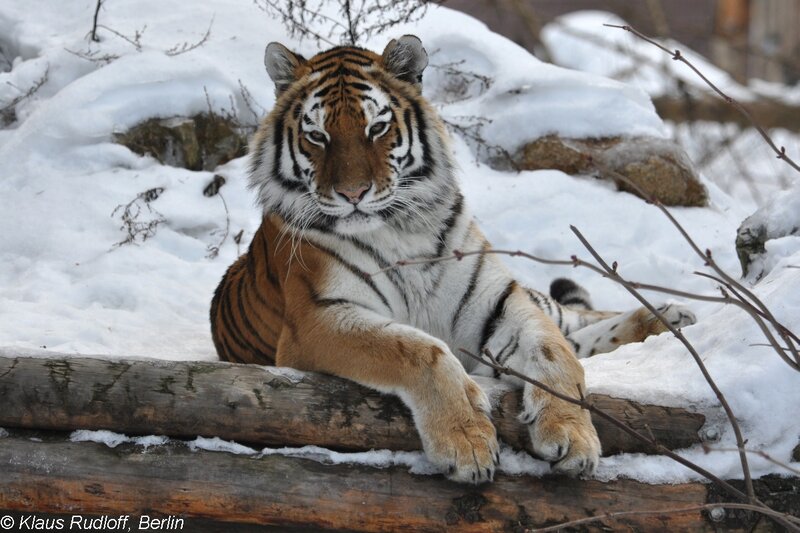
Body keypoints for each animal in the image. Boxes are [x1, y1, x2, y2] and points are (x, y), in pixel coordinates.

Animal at [210, 35, 696, 484]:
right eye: (317, 136)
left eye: (376, 129)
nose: (352, 194)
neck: (397, 227)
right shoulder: (316, 318)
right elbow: (418, 348)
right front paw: (467, 444)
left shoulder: (497, 299)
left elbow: (554, 352)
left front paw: (572, 434)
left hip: (539, 297)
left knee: (578, 320)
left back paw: (673, 317)